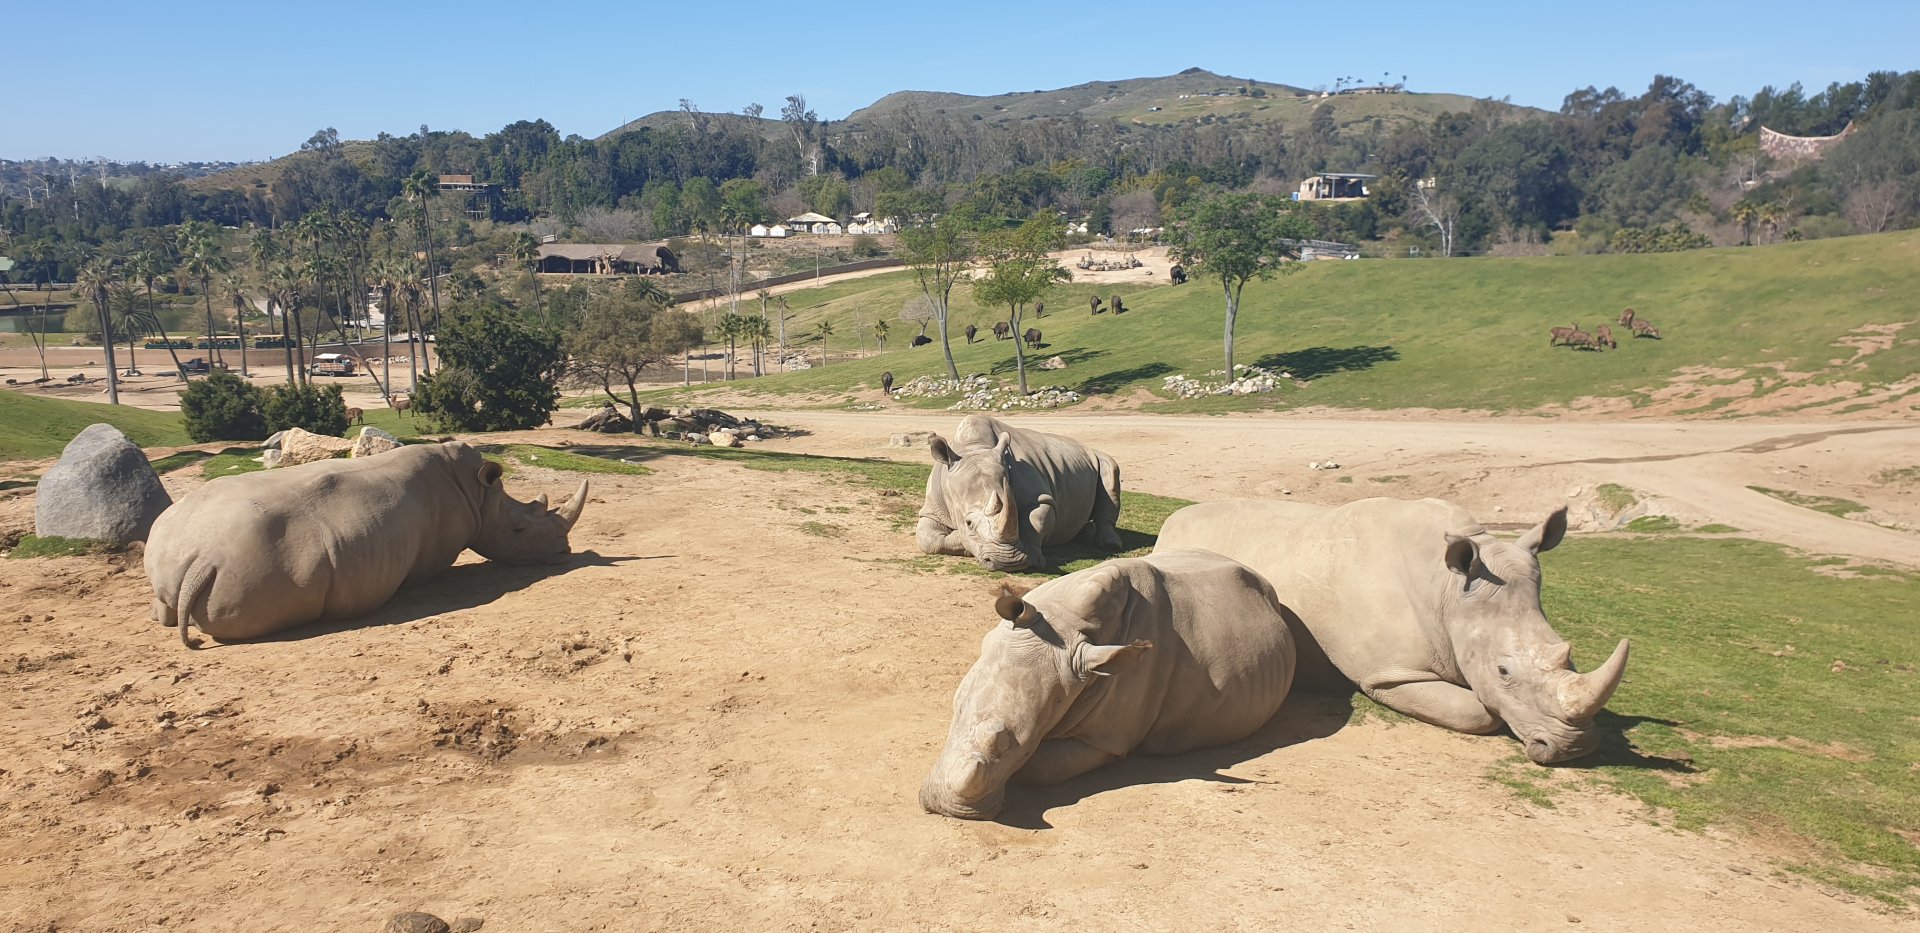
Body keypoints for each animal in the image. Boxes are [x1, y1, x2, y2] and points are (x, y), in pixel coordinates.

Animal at [146, 440, 588, 648]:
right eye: (519, 531)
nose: (564, 554)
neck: (479, 495)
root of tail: (203, 558)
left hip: (171, 537)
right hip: (258, 569)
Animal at [916, 414, 1122, 571]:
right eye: (968, 523)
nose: (1007, 562)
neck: (974, 448)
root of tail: (1083, 446)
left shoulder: (1041, 499)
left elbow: (1036, 521)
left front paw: (1033, 559)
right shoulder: (933, 509)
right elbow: (928, 540)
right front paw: (964, 543)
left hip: (1097, 456)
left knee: (1110, 469)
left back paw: (1109, 543)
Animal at [920, 549, 1298, 820]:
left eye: (1023, 746)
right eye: (958, 711)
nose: (946, 809)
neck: (1066, 623)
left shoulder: (1108, 738)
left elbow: (1040, 767)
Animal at [1155, 498, 1629, 764]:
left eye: (1569, 655)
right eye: (1503, 672)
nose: (1575, 748)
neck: (1446, 594)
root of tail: (1174, 519)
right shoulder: (1390, 674)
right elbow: (1478, 713)